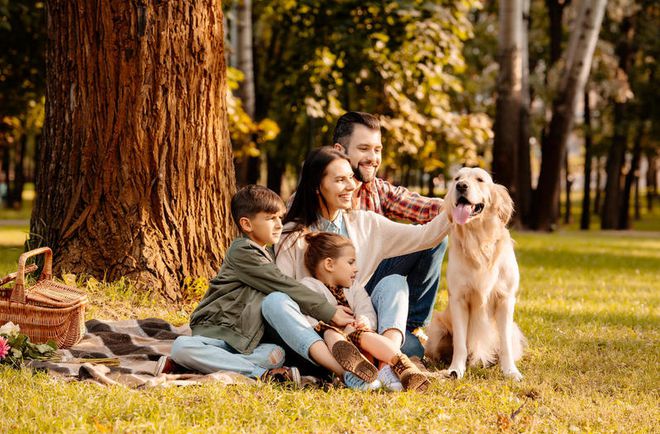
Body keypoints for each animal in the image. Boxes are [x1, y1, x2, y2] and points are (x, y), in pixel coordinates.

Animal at [426, 166, 528, 380]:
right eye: (457, 178)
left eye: (480, 179)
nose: (461, 186)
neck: (479, 240)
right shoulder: (459, 299)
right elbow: (460, 344)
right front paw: (456, 369)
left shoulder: (506, 299)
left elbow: (505, 344)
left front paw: (511, 371)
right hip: (436, 329)